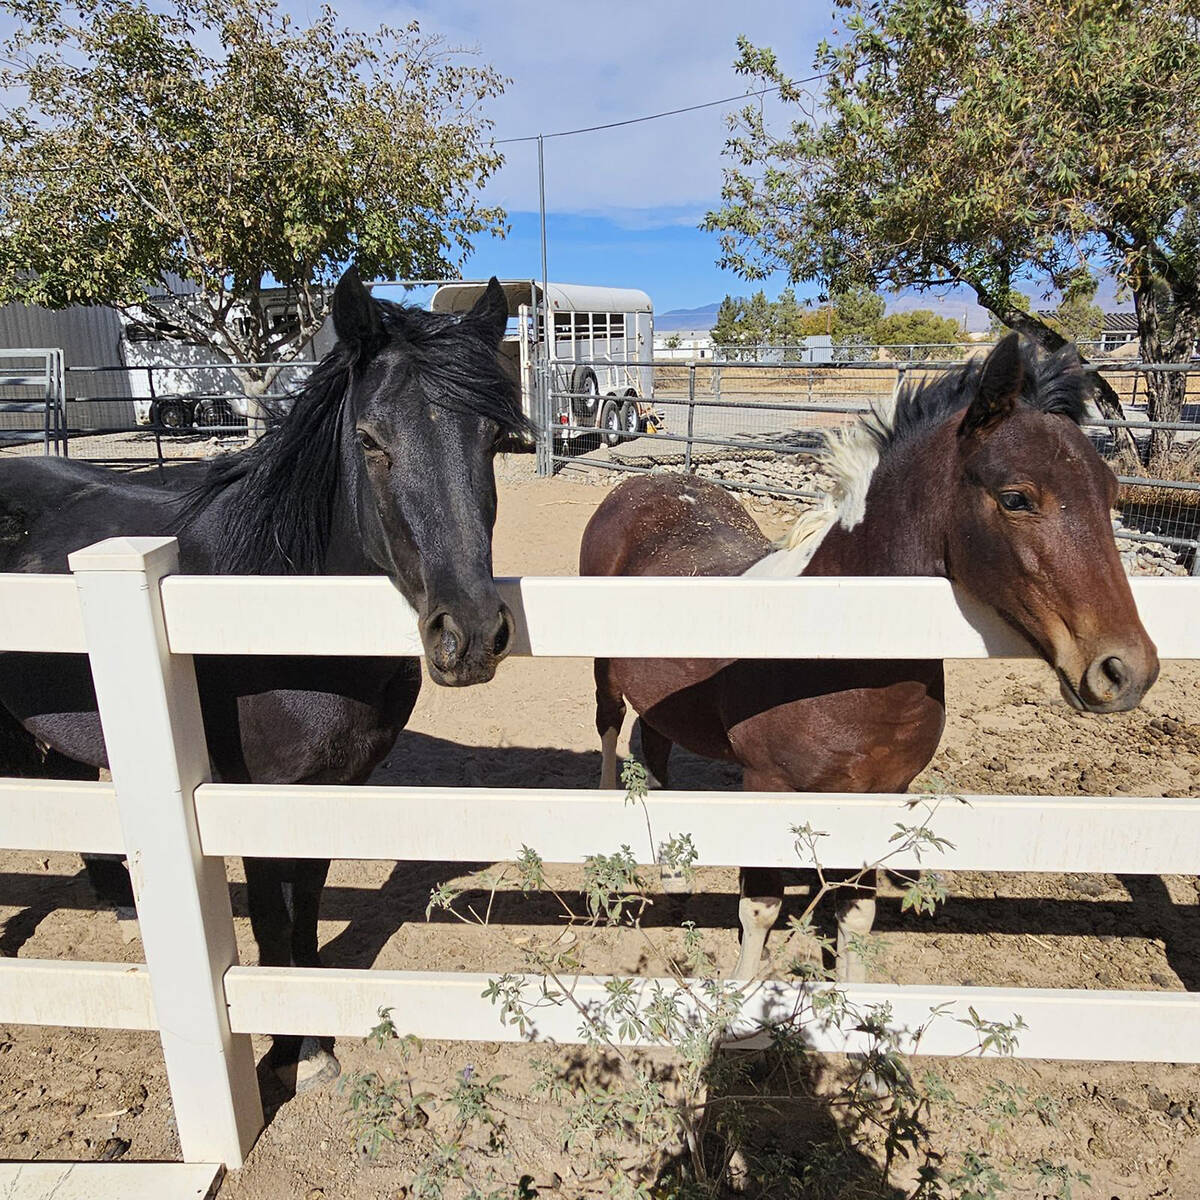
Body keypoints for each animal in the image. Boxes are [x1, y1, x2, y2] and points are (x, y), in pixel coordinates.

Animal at [0, 270, 528, 1089]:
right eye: (369, 440)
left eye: (493, 441)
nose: (469, 635)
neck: (280, 620)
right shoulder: (250, 792)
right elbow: (276, 913)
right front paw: (292, 1052)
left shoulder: (334, 787)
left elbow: (307, 902)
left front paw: (312, 1031)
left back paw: (124, 905)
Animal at [580, 336, 1161, 984]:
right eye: (1017, 498)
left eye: (1110, 493)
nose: (1124, 670)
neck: (838, 663)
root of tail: (639, 487)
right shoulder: (766, 783)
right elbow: (759, 909)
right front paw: (741, 995)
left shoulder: (880, 790)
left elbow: (855, 914)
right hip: (603, 669)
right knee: (610, 728)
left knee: (656, 749)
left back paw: (675, 873)